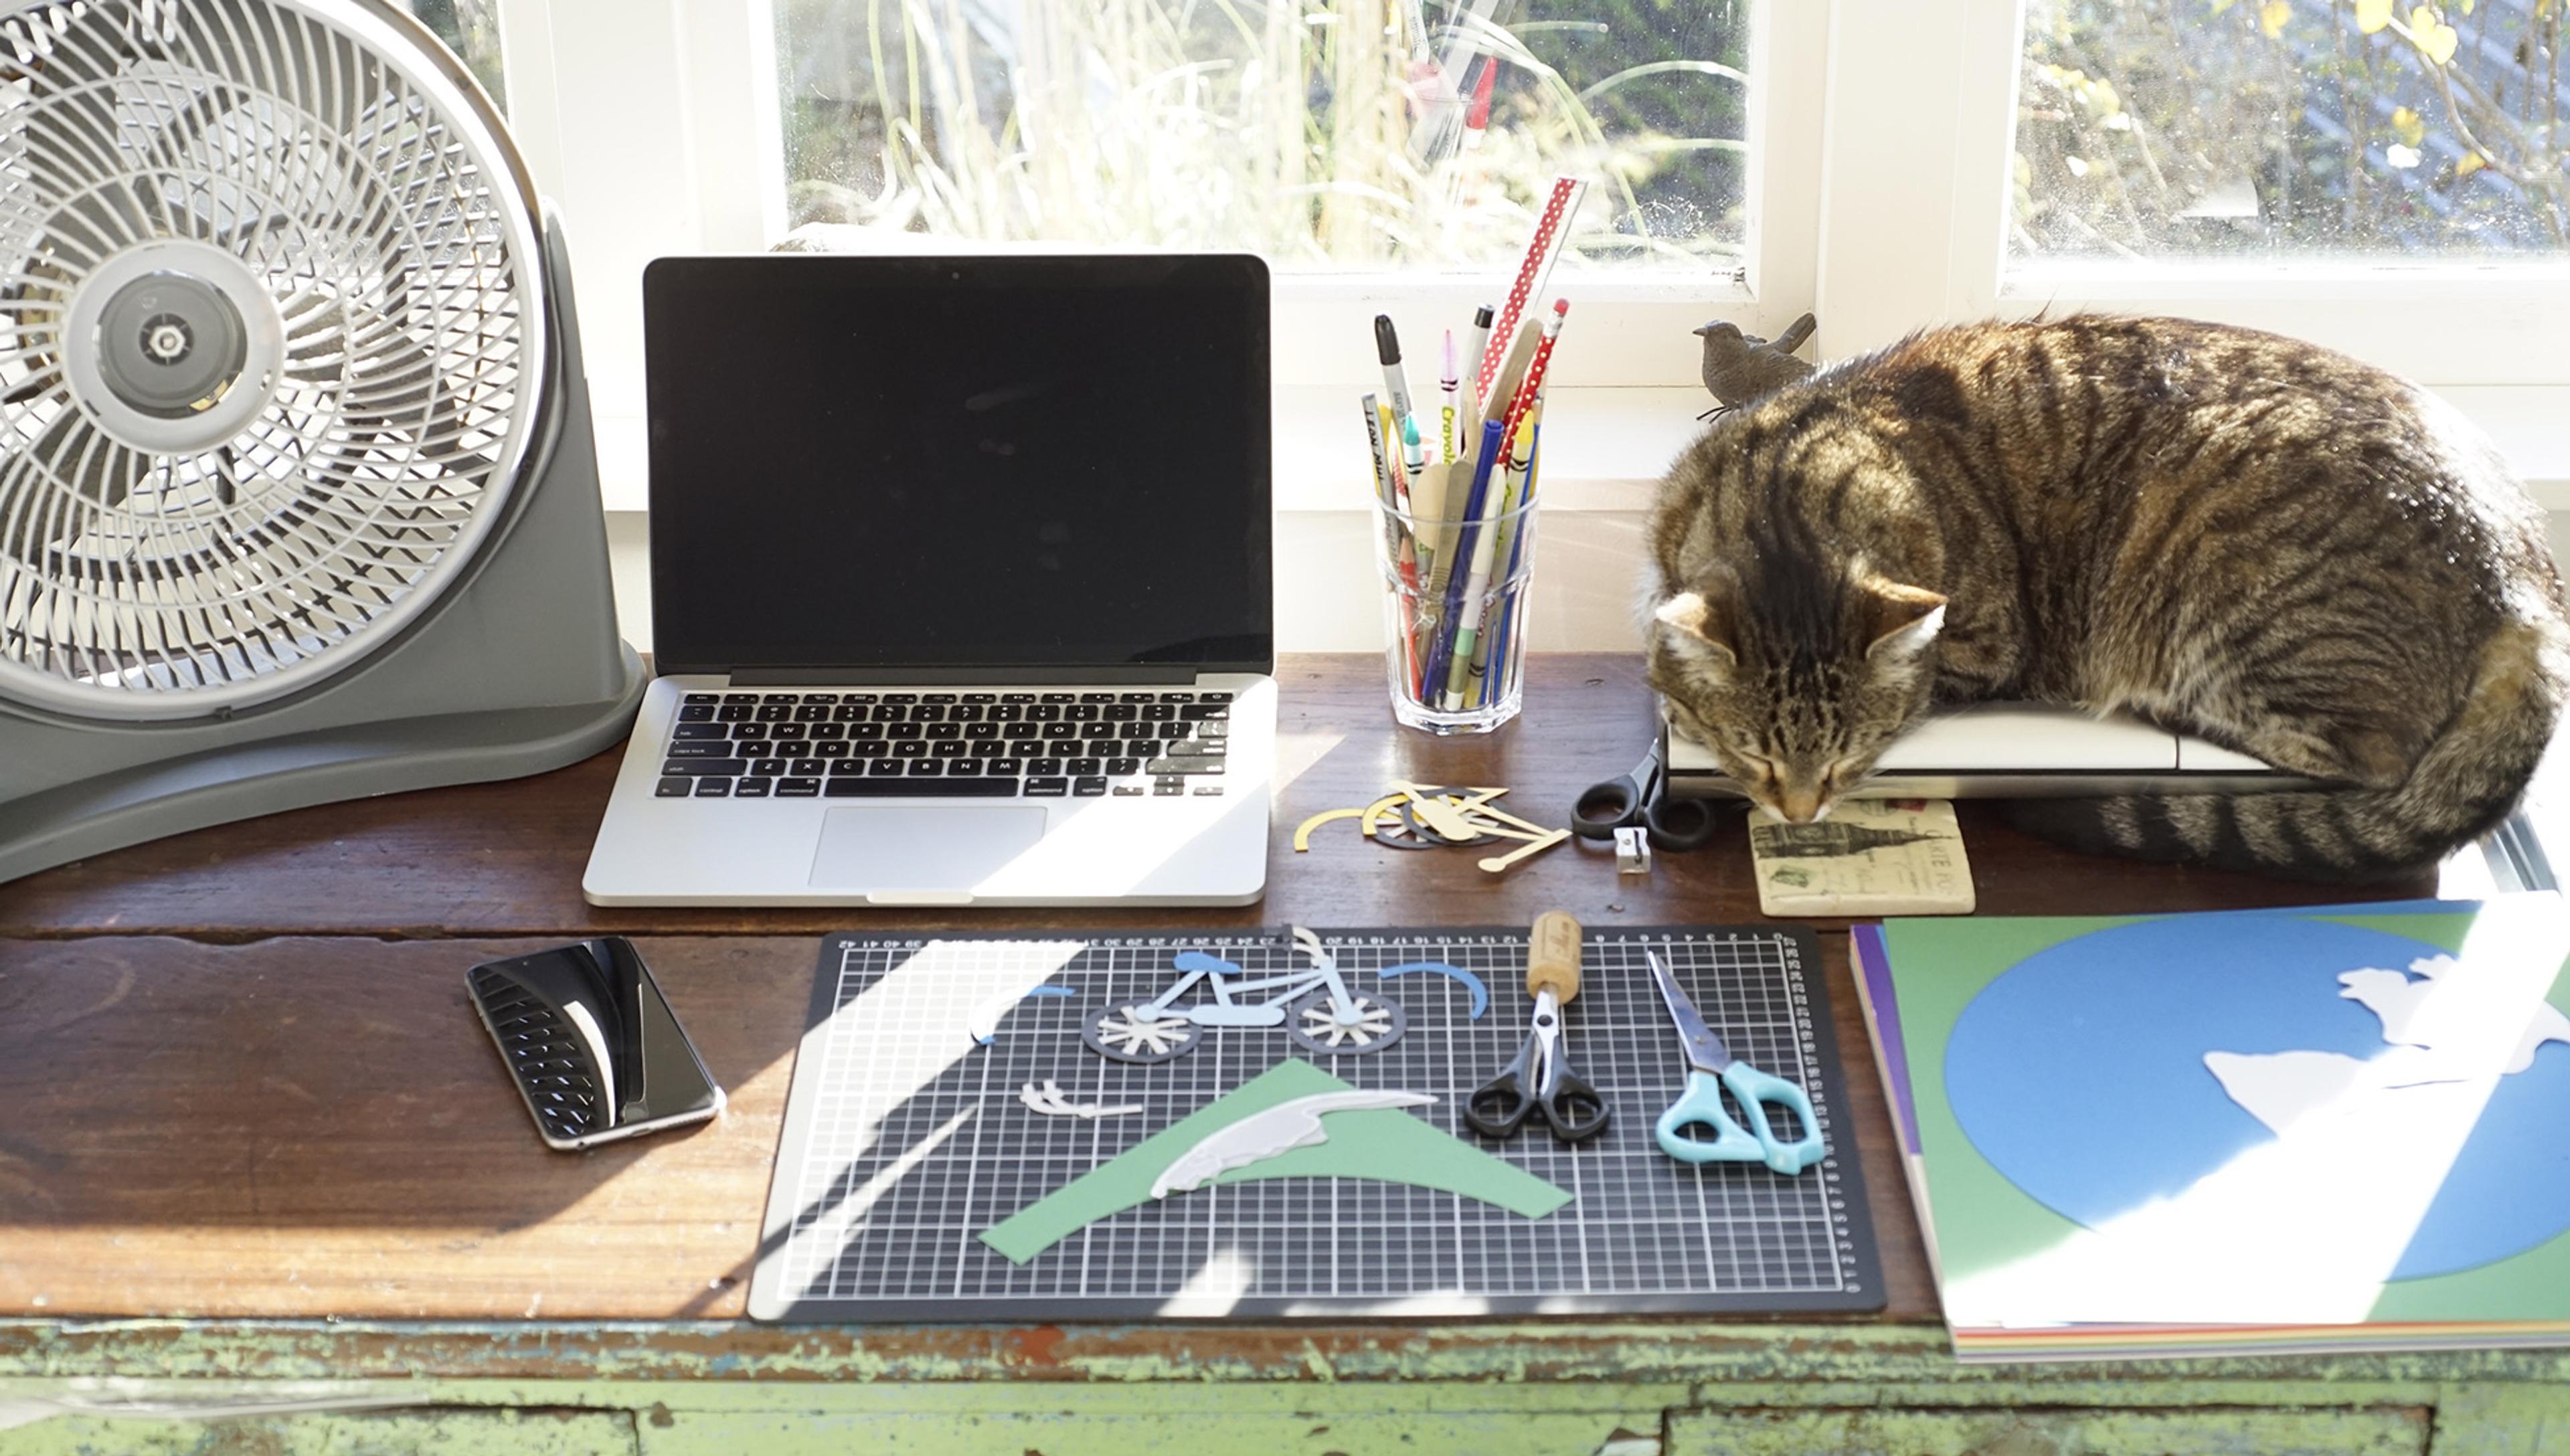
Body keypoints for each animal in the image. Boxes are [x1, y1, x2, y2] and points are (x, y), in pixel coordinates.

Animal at [1644, 318, 2570, 883]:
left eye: (1852, 756)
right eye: (1756, 754)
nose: (1797, 811)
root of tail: (2529, 575)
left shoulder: (1987, 647)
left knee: (2370, 754)